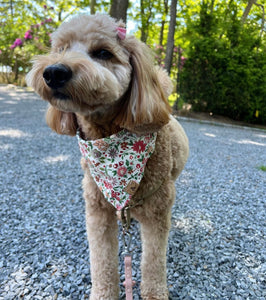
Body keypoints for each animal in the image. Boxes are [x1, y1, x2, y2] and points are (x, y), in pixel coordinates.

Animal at [26, 14, 189, 300]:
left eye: (103, 53)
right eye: (61, 48)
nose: (54, 71)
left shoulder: (157, 212)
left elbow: (154, 261)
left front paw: (155, 292)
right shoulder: (97, 209)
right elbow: (101, 260)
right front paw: (104, 292)